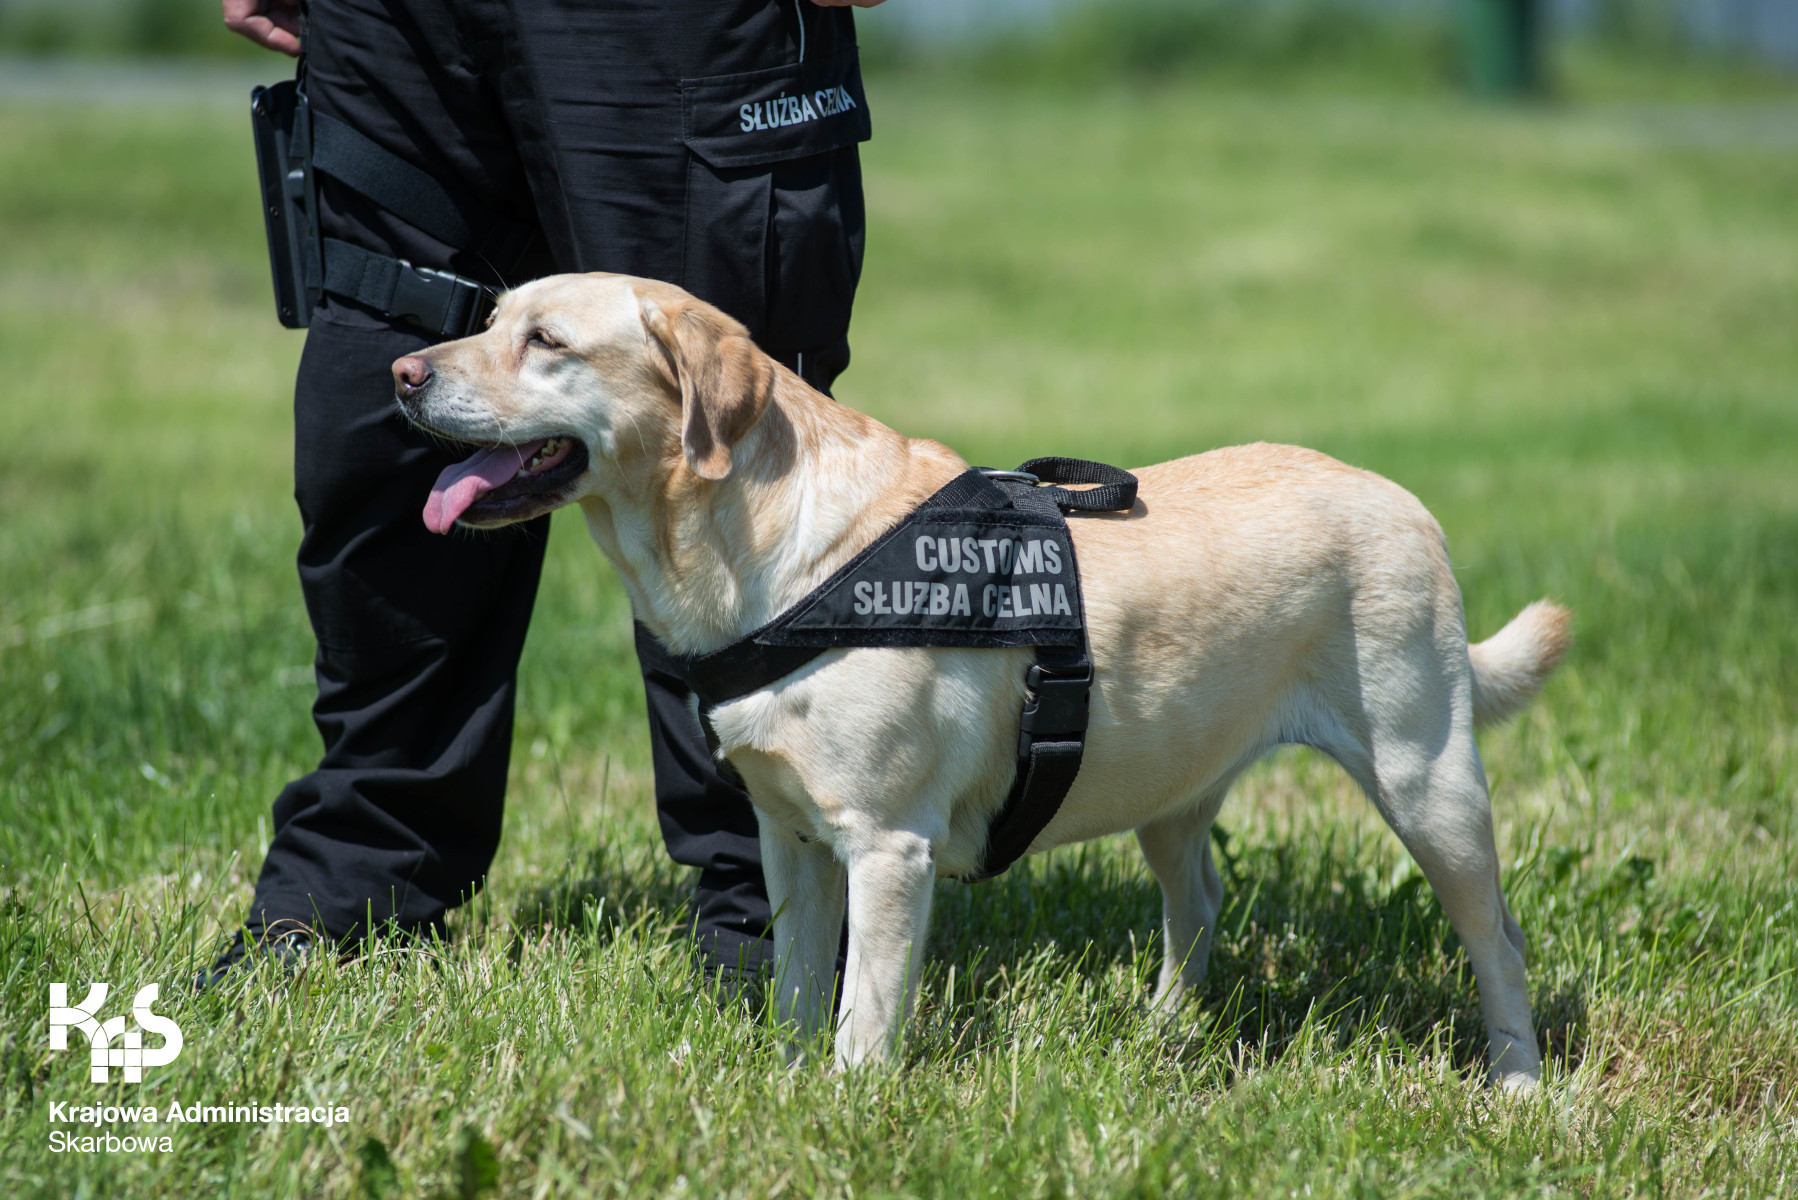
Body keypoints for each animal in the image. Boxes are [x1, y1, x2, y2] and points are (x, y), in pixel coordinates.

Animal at [390, 271, 1560, 1086]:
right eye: (491, 317)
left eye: (546, 342)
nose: (401, 374)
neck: (771, 552)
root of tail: (1399, 496)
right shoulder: (790, 839)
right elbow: (799, 991)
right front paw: (784, 1089)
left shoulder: (887, 847)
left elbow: (863, 1019)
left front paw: (847, 1111)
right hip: (1172, 788)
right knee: (1199, 902)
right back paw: (1163, 1032)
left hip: (1428, 782)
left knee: (1497, 938)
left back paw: (1516, 1081)